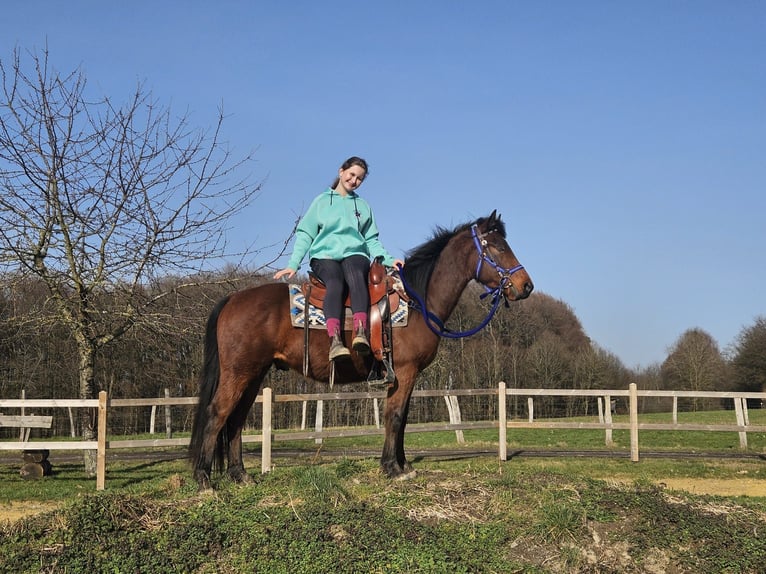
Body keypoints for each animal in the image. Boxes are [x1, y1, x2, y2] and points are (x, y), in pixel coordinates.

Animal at [189, 210, 533, 489]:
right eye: (499, 247)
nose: (526, 286)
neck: (417, 301)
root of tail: (232, 299)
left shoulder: (405, 376)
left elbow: (402, 418)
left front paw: (401, 465)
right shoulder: (404, 371)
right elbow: (395, 416)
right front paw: (393, 469)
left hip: (254, 373)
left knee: (235, 419)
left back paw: (239, 475)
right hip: (239, 372)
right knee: (217, 413)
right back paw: (204, 479)